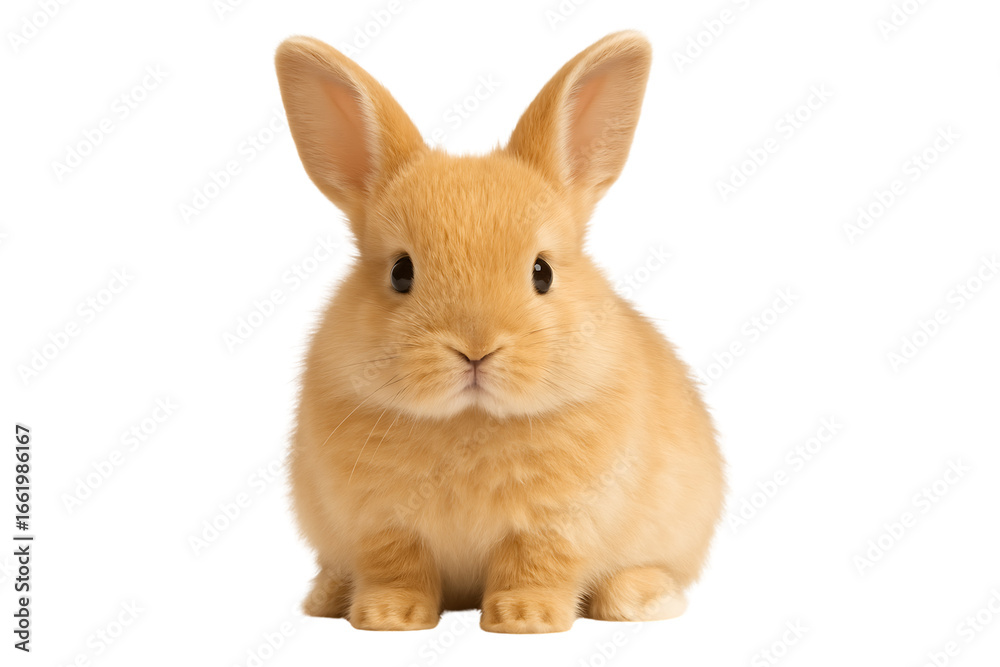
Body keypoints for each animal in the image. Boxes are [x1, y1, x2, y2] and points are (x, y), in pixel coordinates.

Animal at [275, 30, 725, 634]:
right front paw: (387, 617)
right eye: (401, 272)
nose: (476, 349)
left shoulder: (555, 522)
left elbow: (535, 563)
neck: (470, 420)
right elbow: (397, 566)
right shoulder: (380, 523)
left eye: (543, 272)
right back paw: (328, 596)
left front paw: (525, 619)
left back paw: (639, 599)